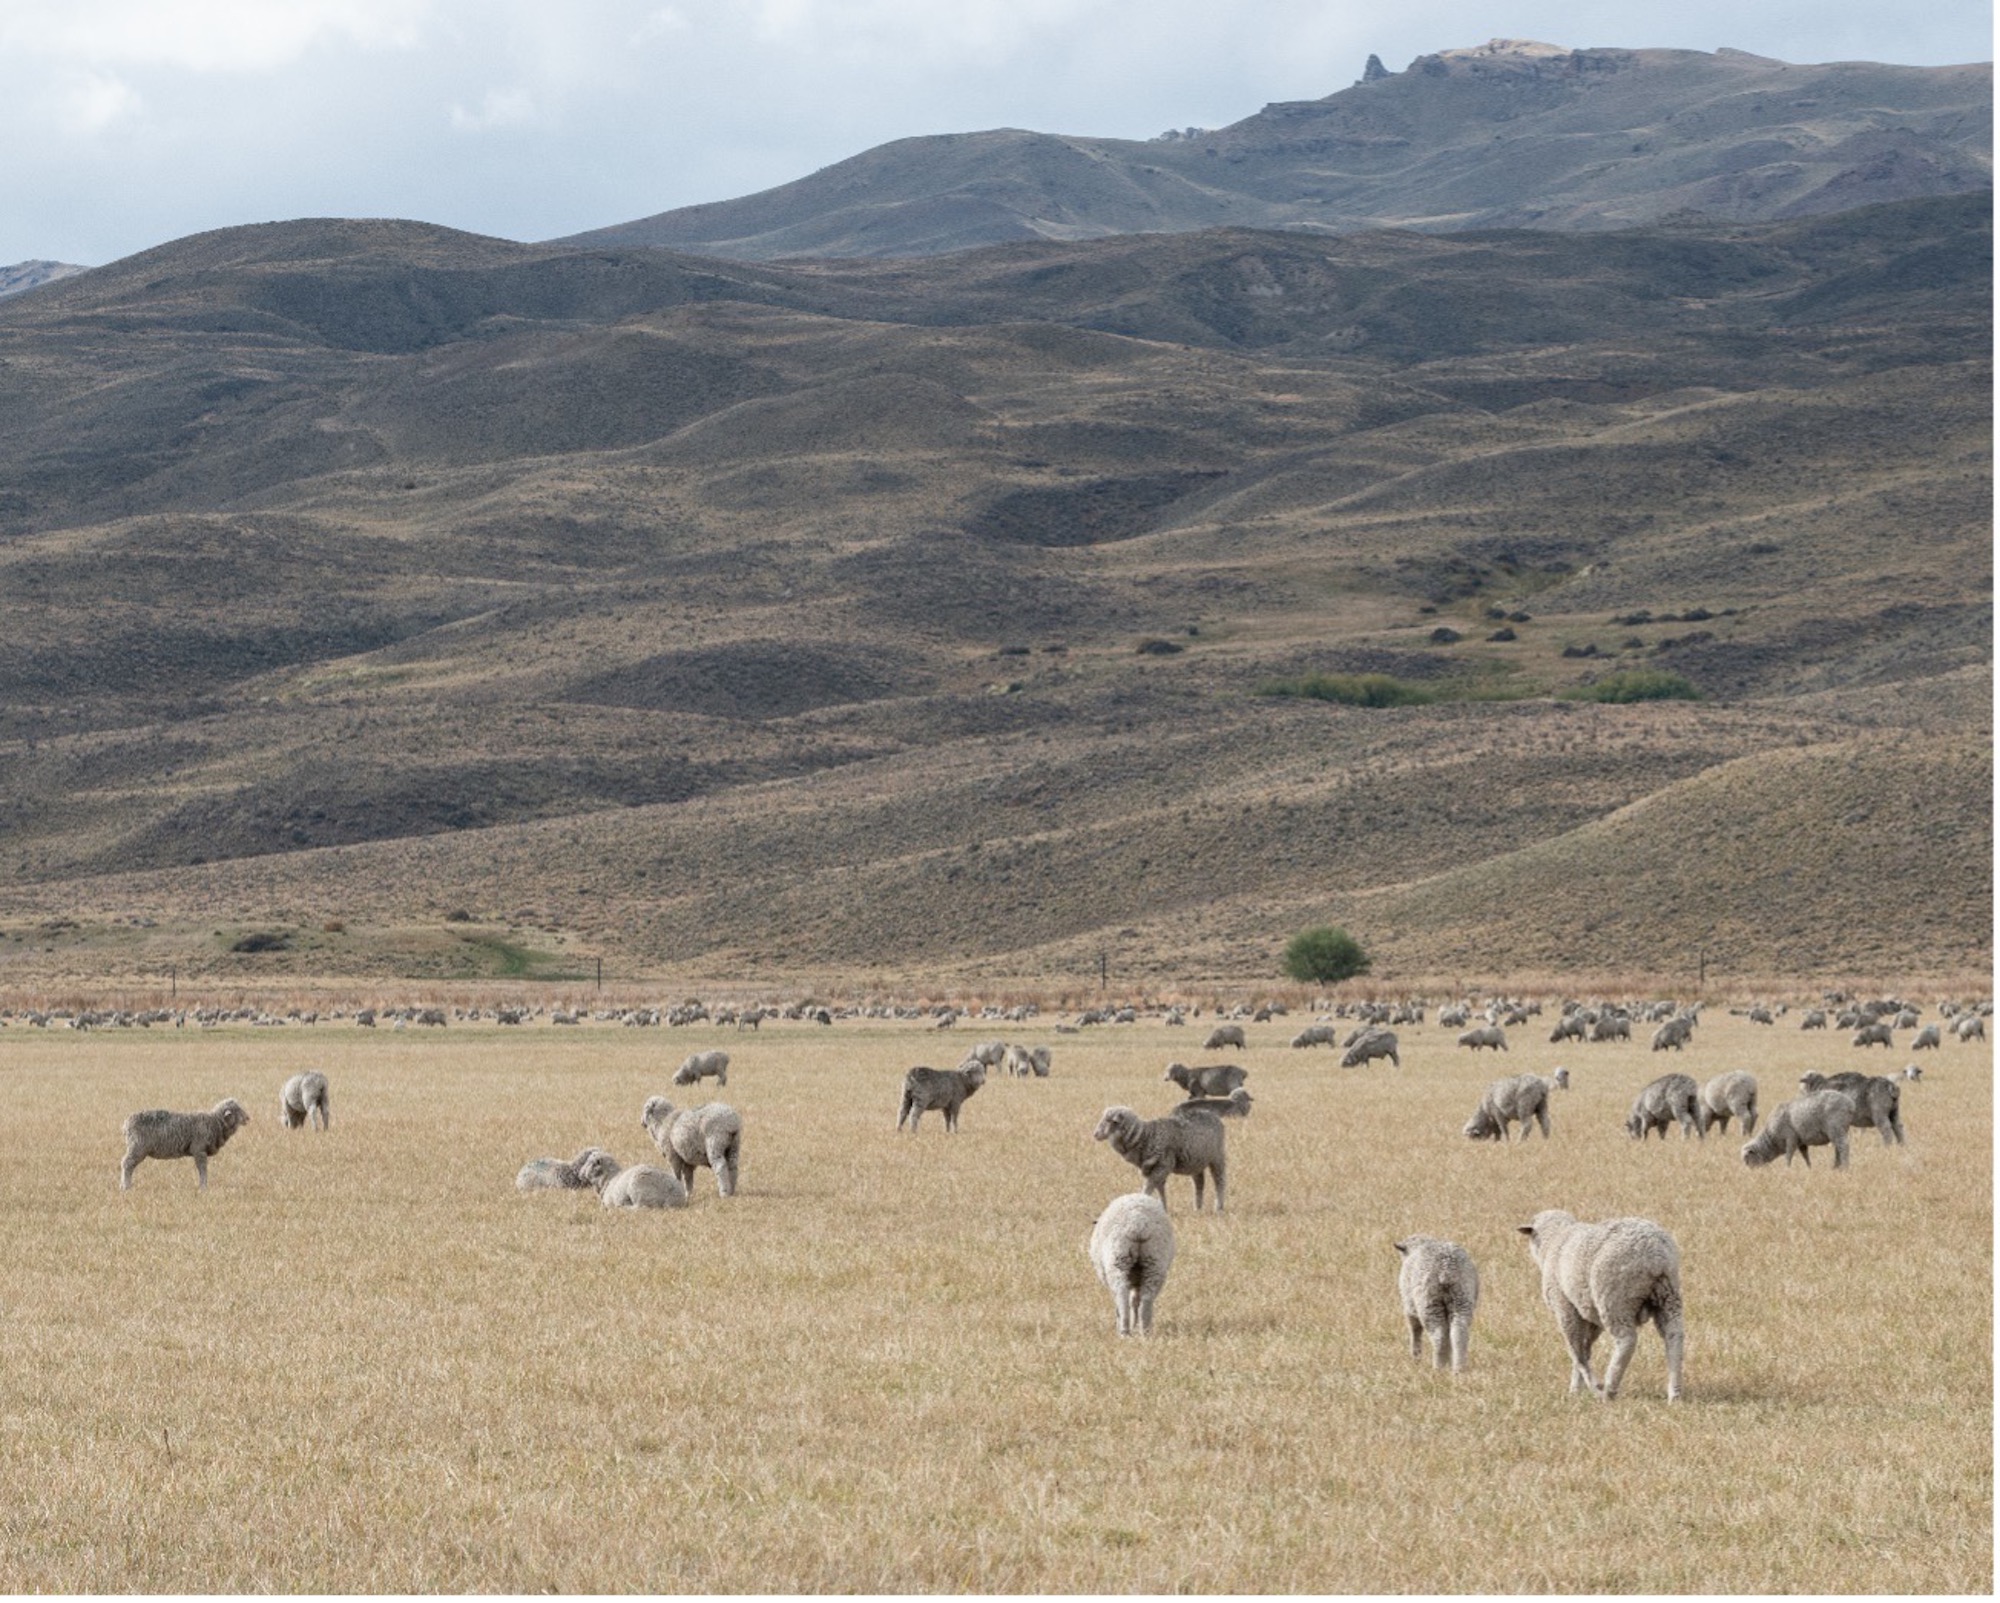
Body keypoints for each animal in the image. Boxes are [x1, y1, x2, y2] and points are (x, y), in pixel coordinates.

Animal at [120, 1099, 251, 1190]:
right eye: (237, 1110)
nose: (248, 1118)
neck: (214, 1122)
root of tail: (126, 1124)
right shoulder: (199, 1150)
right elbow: (202, 1169)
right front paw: (204, 1187)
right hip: (137, 1147)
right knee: (127, 1164)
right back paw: (125, 1186)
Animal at [1088, 1192, 1176, 1336]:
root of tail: (1138, 1223)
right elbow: (1135, 1300)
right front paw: (1134, 1324)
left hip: (1118, 1260)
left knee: (1121, 1295)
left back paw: (1124, 1331)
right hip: (1154, 1262)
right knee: (1146, 1299)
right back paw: (1145, 1331)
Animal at [1093, 1105, 1226, 1213]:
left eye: (1110, 1121)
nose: (1095, 1134)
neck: (1146, 1137)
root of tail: (1211, 1113)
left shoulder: (1163, 1165)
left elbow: (1149, 1186)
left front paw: (1142, 1202)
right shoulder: (1151, 1168)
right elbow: (1159, 1188)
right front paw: (1164, 1208)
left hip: (1217, 1156)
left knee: (1220, 1180)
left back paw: (1219, 1207)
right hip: (1196, 1161)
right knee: (1199, 1182)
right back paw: (1197, 1208)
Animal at [1394, 1236, 1479, 1372]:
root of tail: (1446, 1268)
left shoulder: (1409, 1307)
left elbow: (1415, 1331)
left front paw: (1415, 1358)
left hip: (1428, 1302)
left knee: (1439, 1335)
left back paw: (1438, 1368)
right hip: (1462, 1298)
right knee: (1459, 1332)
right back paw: (1458, 1368)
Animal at [1516, 1210, 1684, 1401]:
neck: (1555, 1240)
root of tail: (1655, 1253)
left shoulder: (1565, 1307)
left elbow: (1576, 1352)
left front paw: (1589, 1387)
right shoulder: (1589, 1313)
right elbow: (1585, 1348)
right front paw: (1577, 1388)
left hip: (1614, 1298)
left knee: (1627, 1340)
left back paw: (1609, 1390)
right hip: (1668, 1294)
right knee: (1674, 1335)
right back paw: (1675, 1393)